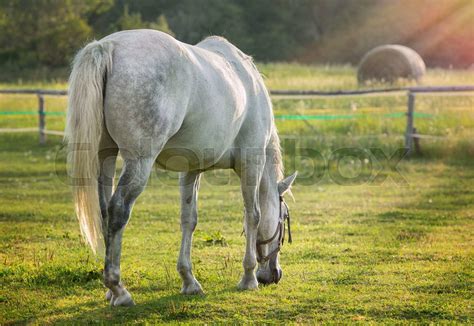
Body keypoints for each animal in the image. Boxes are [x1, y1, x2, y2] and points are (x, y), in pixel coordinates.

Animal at [65, 29, 296, 306]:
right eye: (284, 218)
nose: (273, 275)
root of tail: (107, 46)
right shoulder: (251, 163)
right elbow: (253, 215)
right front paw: (249, 278)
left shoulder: (190, 170)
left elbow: (189, 220)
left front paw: (189, 281)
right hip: (139, 162)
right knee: (118, 209)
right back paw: (119, 290)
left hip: (106, 156)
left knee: (104, 212)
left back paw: (110, 291)